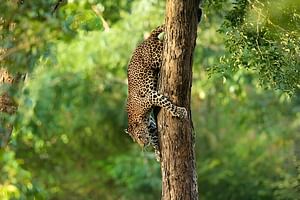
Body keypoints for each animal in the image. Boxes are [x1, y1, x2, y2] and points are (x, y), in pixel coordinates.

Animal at [125, 25, 186, 161]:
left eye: (139, 136)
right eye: (135, 140)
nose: (143, 145)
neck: (140, 118)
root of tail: (147, 38)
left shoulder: (151, 97)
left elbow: (167, 104)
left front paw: (180, 111)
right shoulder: (151, 125)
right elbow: (154, 139)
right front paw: (158, 152)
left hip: (158, 57)